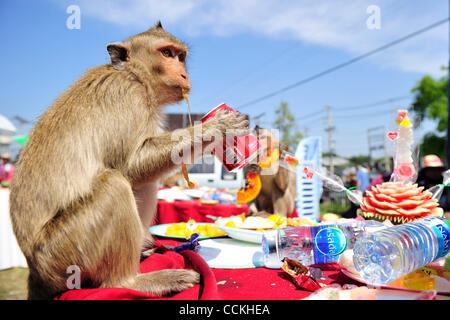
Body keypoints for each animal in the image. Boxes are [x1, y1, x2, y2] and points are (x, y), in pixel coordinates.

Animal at [9, 22, 250, 300]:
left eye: (181, 57)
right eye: (166, 53)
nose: (184, 75)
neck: (135, 76)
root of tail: (36, 273)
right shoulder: (128, 96)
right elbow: (130, 166)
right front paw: (216, 127)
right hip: (63, 255)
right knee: (115, 184)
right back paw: (131, 282)